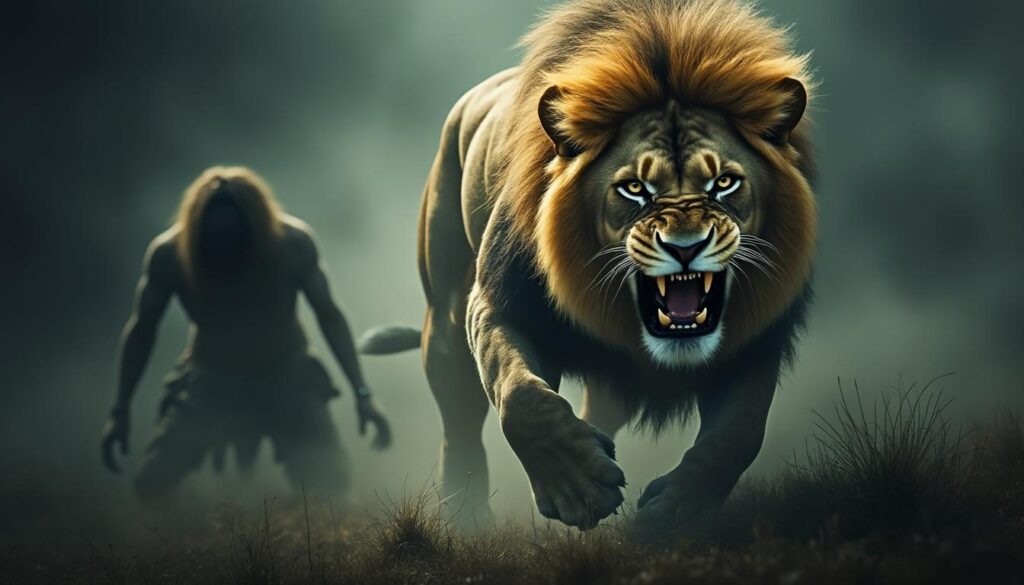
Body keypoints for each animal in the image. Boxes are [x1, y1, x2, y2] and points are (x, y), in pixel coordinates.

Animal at [361, 0, 816, 532]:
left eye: (724, 183)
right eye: (634, 188)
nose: (685, 246)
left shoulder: (758, 334)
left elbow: (739, 431)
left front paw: (675, 512)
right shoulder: (498, 303)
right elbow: (523, 398)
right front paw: (578, 488)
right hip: (446, 320)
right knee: (460, 425)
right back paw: (467, 518)